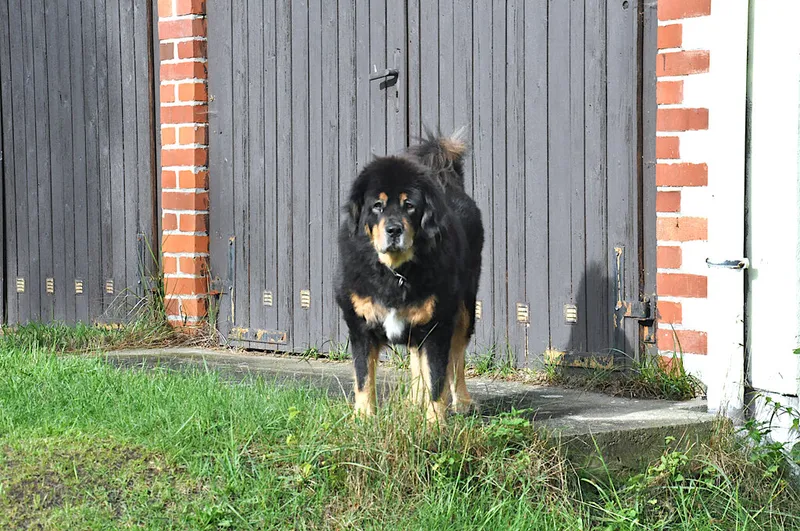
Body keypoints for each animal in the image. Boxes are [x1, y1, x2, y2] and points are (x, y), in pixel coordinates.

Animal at [335, 129, 484, 423]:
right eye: (377, 206)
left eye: (410, 206)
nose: (394, 229)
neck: (395, 272)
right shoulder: (360, 326)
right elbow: (363, 378)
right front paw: (364, 419)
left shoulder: (437, 327)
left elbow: (438, 377)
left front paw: (435, 423)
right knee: (417, 362)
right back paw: (415, 402)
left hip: (464, 311)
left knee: (457, 359)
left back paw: (462, 402)